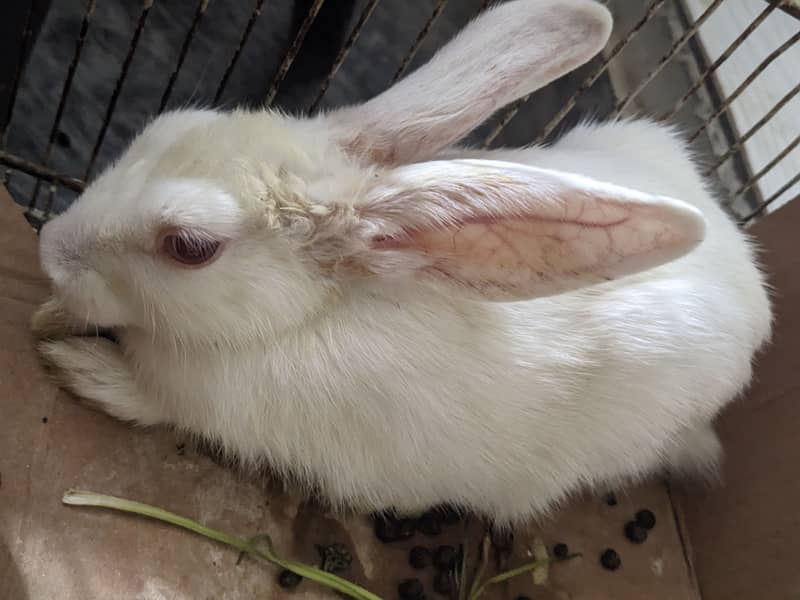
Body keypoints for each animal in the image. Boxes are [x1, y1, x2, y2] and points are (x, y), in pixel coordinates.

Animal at [34, 0, 772, 524]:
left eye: (189, 247)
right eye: (165, 126)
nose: (50, 249)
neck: (295, 319)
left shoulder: (195, 402)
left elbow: (147, 400)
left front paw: (79, 365)